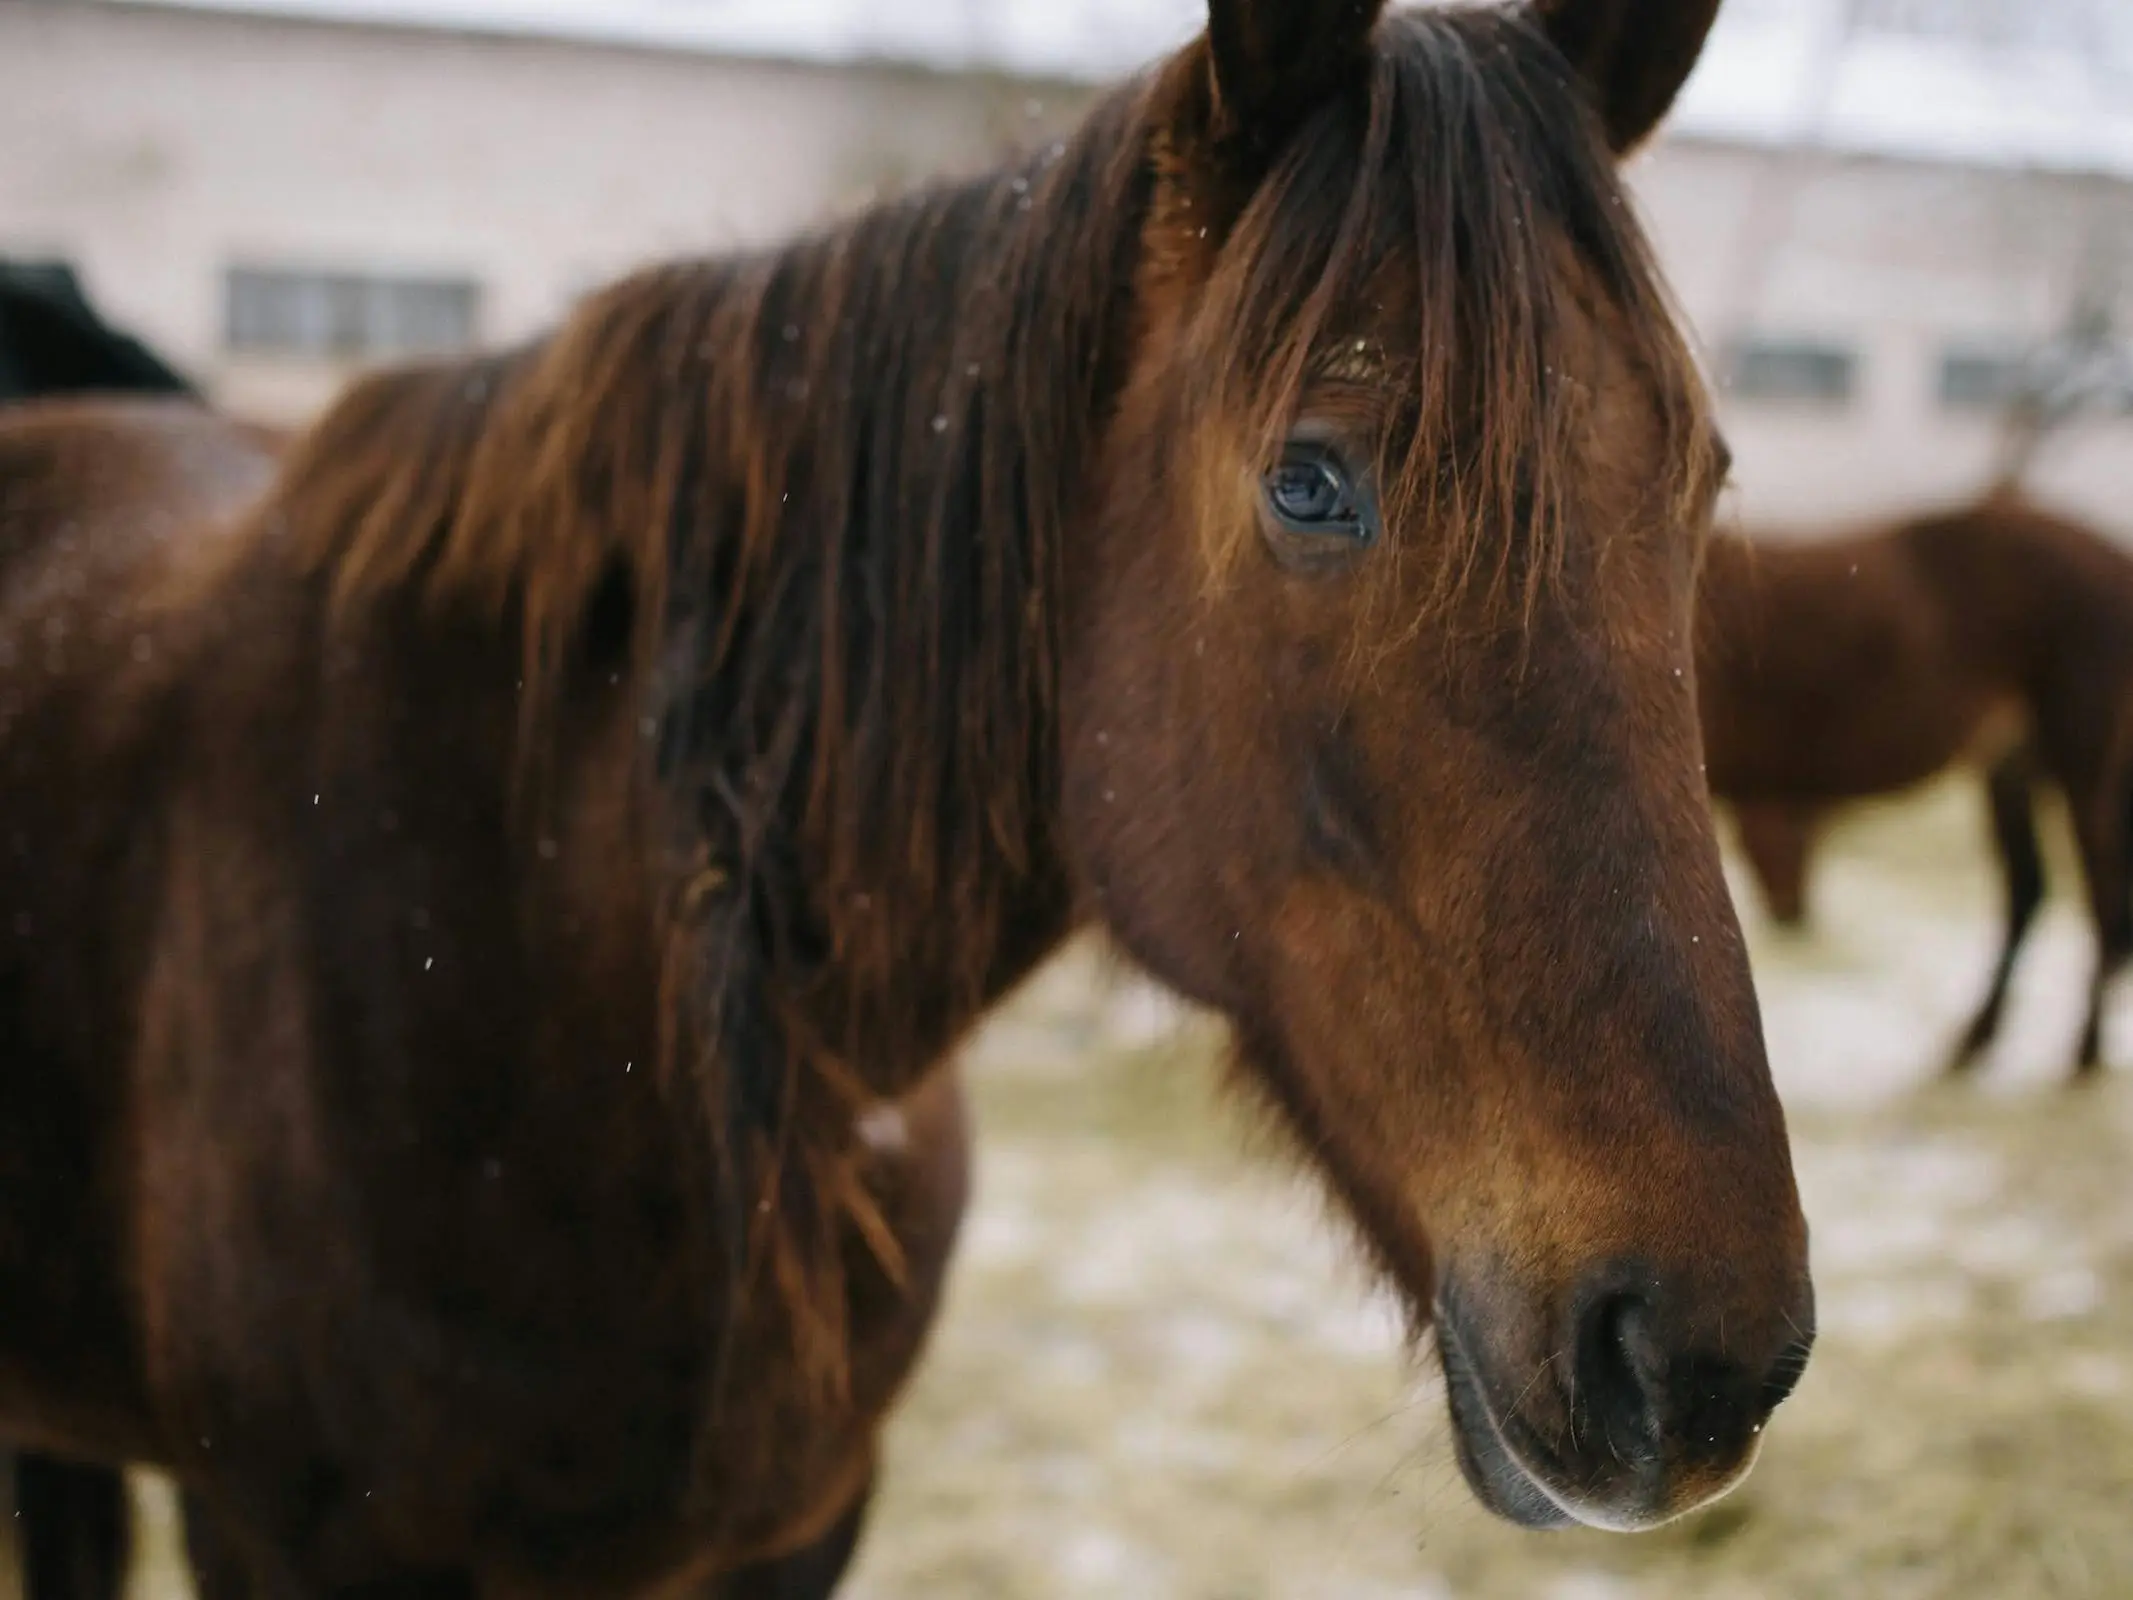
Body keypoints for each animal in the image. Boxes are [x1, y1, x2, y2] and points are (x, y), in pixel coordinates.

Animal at [1706, 494, 2133, 1083]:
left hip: (2080, 748)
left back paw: (2082, 1054)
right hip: (2014, 757)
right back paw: (1975, 1041)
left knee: (2101, 893)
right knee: (2030, 889)